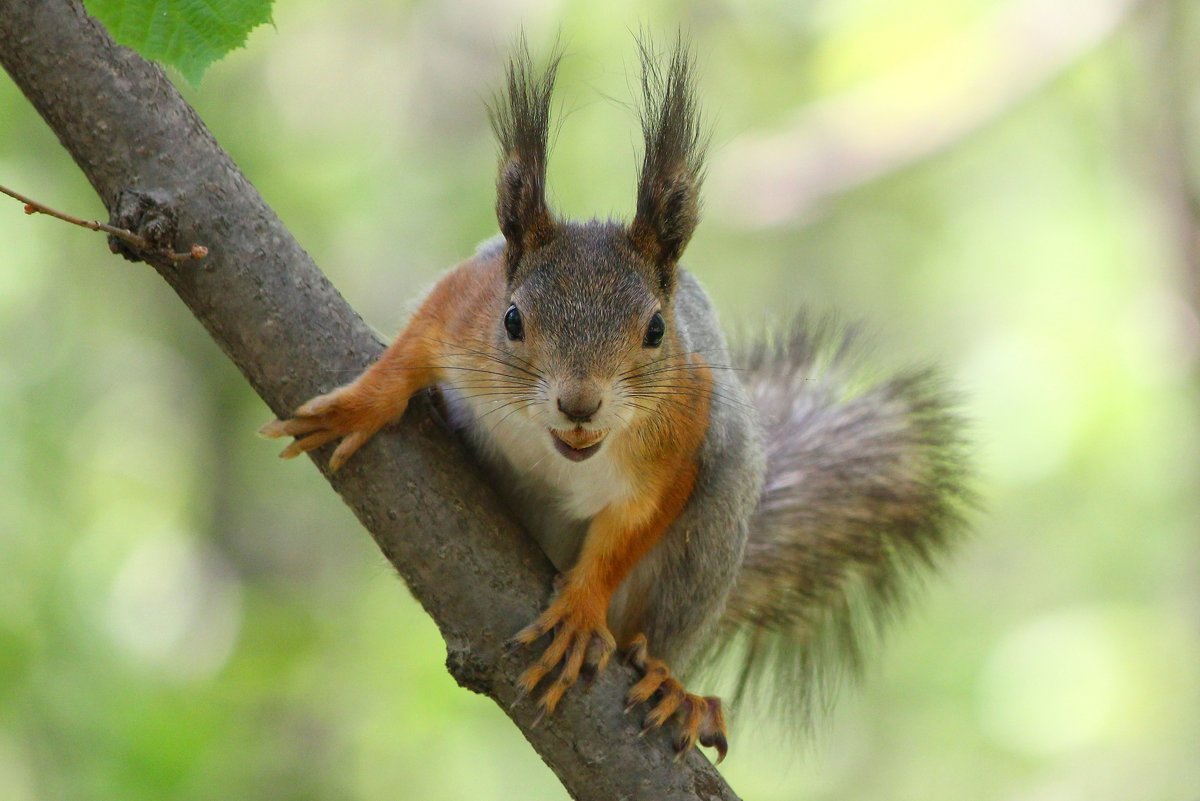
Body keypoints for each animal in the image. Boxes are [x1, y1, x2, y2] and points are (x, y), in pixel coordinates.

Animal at [262, 38, 974, 762]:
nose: (580, 404)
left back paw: (673, 686)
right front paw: (360, 405)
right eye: (513, 320)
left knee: (660, 624)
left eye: (657, 330)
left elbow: (628, 530)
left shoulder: (679, 440)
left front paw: (581, 612)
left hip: (710, 542)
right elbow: (415, 345)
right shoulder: (465, 306)